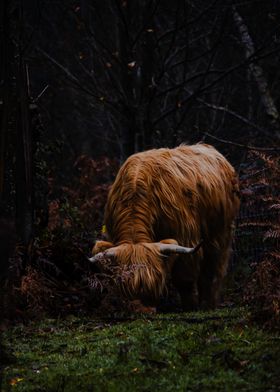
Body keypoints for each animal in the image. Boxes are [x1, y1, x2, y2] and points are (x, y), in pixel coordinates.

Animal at [91, 143, 240, 310]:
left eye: (154, 284)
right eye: (125, 287)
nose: (143, 311)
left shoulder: (186, 237)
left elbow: (184, 278)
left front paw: (190, 306)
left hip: (220, 234)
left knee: (213, 270)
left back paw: (208, 303)